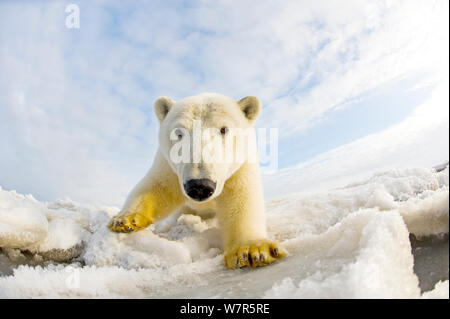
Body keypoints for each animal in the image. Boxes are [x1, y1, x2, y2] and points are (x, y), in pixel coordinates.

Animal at [107, 93, 286, 270]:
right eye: (179, 133)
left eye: (224, 129)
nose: (200, 186)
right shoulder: (169, 166)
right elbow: (158, 187)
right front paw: (125, 220)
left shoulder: (240, 167)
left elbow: (240, 199)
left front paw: (252, 250)